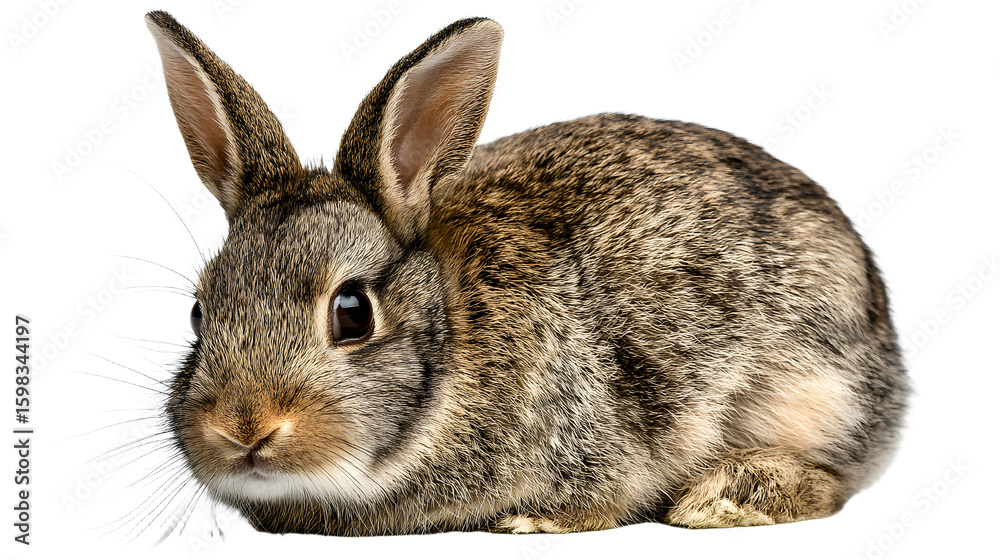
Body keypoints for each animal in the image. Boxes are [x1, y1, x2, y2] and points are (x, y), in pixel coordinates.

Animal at [145, 10, 908, 536]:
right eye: (198, 313)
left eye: (352, 312)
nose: (243, 430)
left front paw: (533, 523)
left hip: (814, 388)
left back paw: (719, 501)